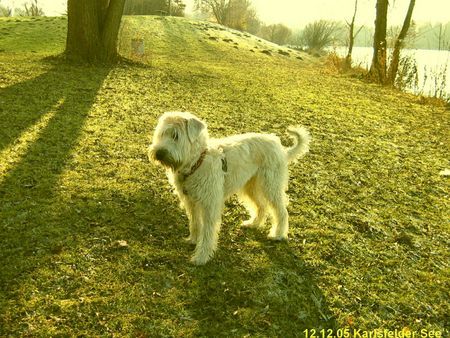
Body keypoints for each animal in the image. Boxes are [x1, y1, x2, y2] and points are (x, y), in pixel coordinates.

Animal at [148, 112, 310, 266]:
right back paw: (253, 224)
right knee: (262, 206)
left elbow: (207, 231)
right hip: (250, 187)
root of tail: (281, 148)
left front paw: (201, 257)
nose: (159, 153)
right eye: (161, 133)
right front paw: (193, 240)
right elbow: (195, 222)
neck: (197, 162)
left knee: (281, 211)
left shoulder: (209, 205)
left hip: (271, 186)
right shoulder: (191, 201)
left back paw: (278, 235)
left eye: (175, 135)